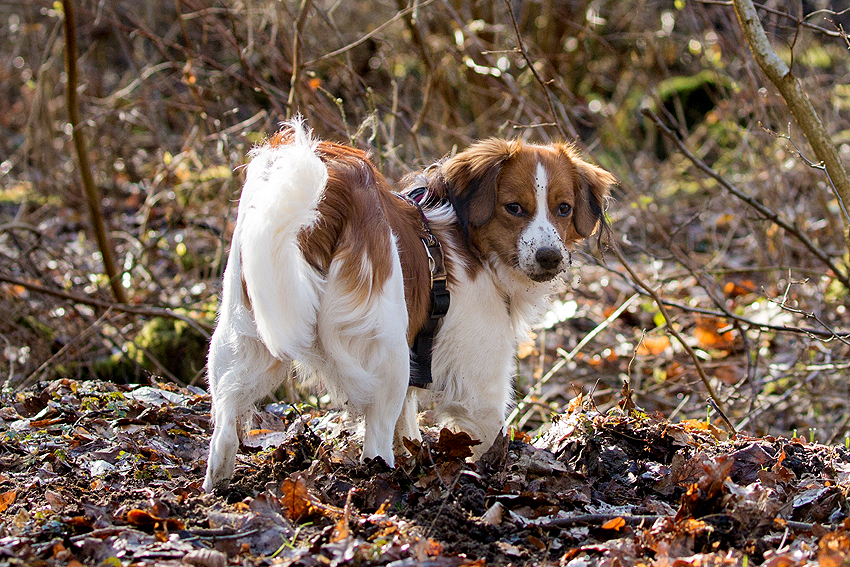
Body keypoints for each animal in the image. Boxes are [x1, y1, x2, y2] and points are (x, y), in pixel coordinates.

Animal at [202, 120, 612, 492]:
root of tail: (336, 186)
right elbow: (490, 435)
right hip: (386, 354)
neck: (470, 245)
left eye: (563, 208)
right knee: (376, 442)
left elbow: (408, 424)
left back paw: (216, 488)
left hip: (243, 337)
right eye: (514, 207)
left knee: (223, 431)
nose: (549, 256)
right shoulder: (479, 378)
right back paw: (385, 482)